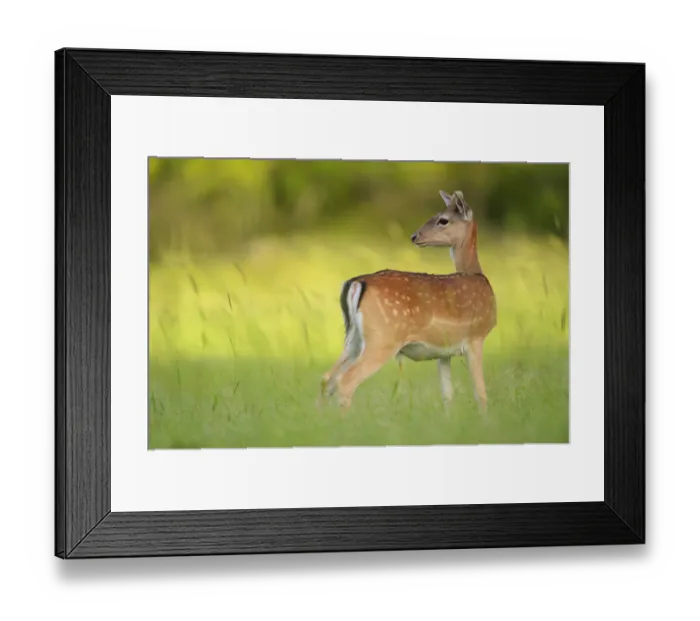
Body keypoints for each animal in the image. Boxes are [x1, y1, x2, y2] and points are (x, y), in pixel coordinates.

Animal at [319, 190, 497, 414]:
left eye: (442, 219)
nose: (414, 236)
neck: (477, 274)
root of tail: (357, 283)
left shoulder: (444, 352)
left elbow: (448, 396)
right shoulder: (476, 337)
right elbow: (481, 393)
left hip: (353, 338)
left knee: (327, 378)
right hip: (383, 338)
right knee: (346, 380)